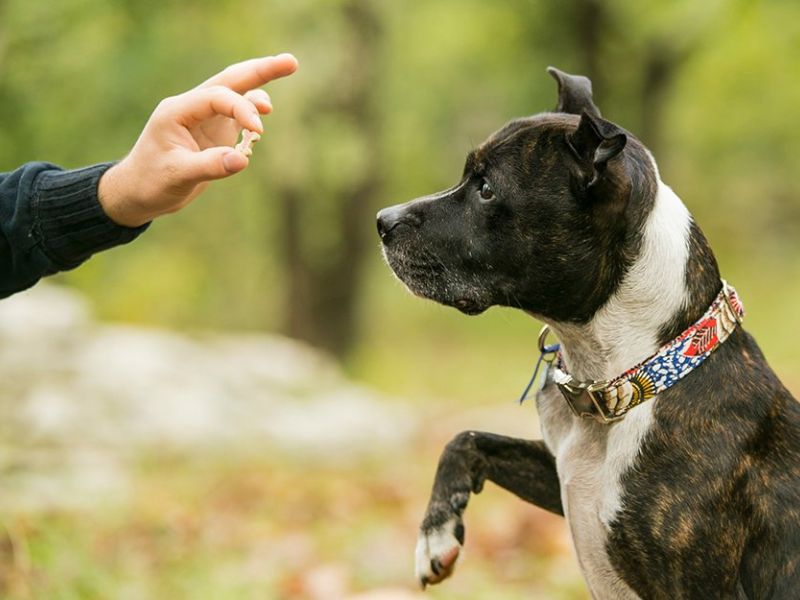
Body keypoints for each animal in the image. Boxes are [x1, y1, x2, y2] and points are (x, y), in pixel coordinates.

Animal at [376, 67, 800, 600]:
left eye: (487, 189)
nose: (382, 221)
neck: (630, 377)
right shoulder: (561, 474)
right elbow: (466, 437)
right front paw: (435, 534)